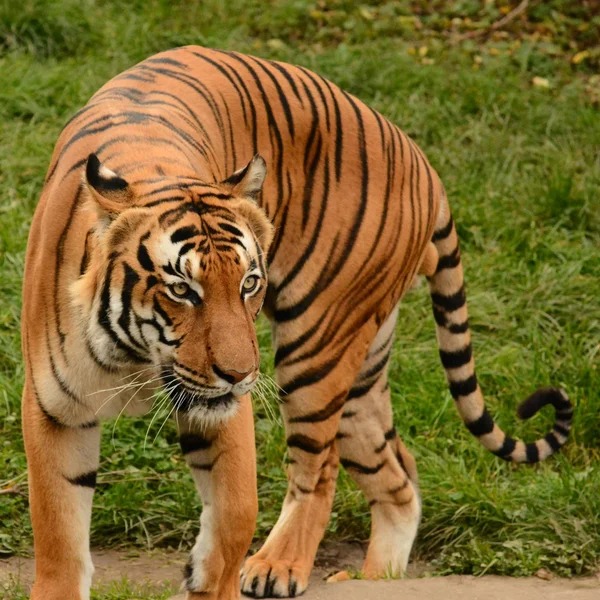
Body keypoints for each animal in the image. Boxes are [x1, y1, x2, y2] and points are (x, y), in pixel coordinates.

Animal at [21, 47, 576, 600]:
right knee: (399, 474)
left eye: (248, 283)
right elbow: (59, 536)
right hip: (363, 375)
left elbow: (235, 513)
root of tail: (427, 166)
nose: (240, 375)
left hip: (318, 346)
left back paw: (278, 564)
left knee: (321, 467)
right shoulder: (57, 410)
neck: (135, 356)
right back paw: (375, 575)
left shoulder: (222, 410)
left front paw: (211, 573)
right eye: (182, 290)